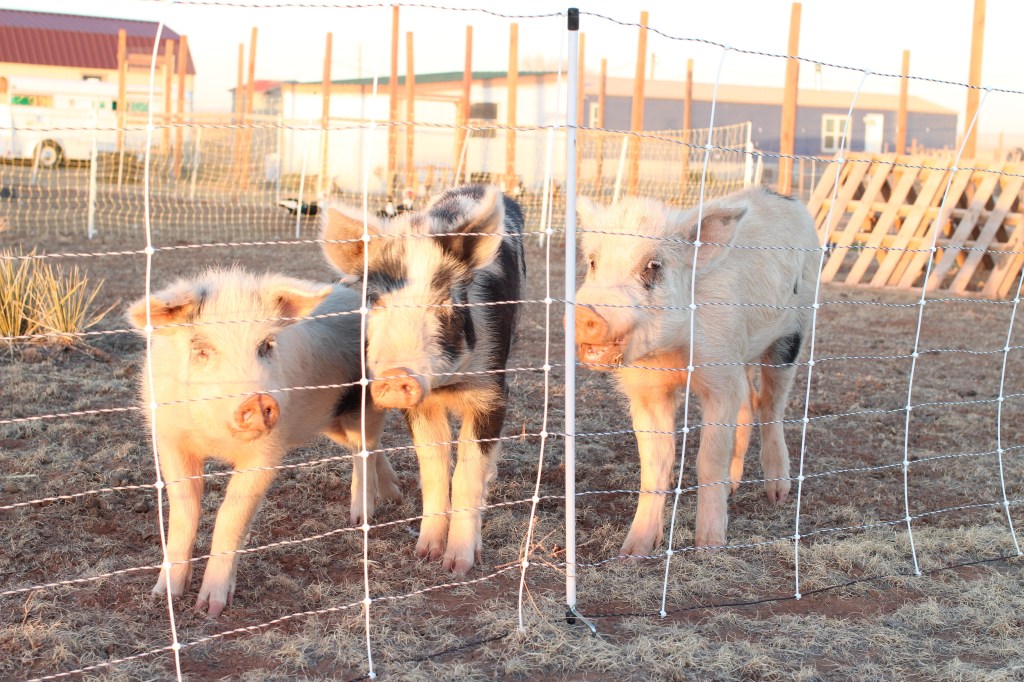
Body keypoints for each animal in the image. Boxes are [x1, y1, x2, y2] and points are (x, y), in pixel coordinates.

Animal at [126, 267, 402, 617]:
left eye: (266, 345)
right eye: (201, 349)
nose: (258, 401)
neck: (217, 439)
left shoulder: (267, 452)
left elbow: (231, 514)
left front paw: (211, 609)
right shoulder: (171, 440)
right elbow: (184, 509)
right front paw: (163, 596)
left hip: (365, 401)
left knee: (363, 450)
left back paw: (359, 519)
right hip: (329, 419)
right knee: (370, 447)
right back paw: (394, 495)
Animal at [320, 184, 525, 574]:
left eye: (446, 302)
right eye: (375, 301)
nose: (397, 375)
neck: (447, 385)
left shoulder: (493, 391)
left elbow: (467, 472)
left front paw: (457, 566)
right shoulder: (419, 407)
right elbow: (433, 468)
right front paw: (425, 554)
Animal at [574, 187, 819, 555]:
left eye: (653, 266)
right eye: (593, 262)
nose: (586, 313)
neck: (675, 356)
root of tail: (783, 196)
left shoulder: (718, 375)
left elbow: (708, 460)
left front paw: (710, 546)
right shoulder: (648, 390)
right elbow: (656, 464)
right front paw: (632, 552)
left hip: (793, 333)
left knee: (771, 406)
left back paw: (777, 495)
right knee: (749, 404)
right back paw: (733, 487)